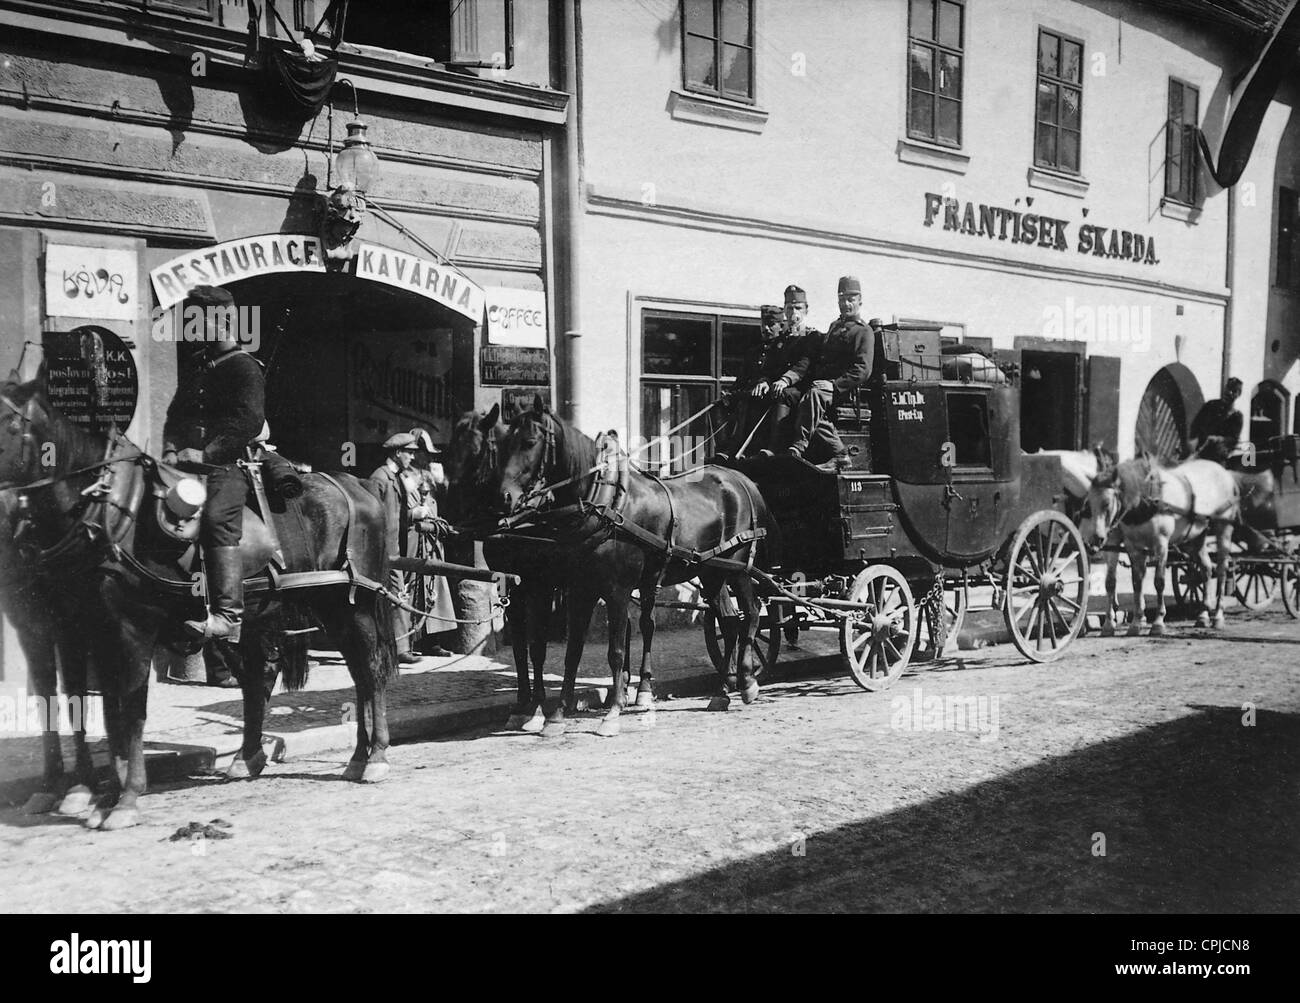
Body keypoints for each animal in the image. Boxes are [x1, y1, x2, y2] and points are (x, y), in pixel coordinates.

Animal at [0, 376, 395, 831]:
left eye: (11, 422)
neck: (109, 514)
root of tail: (358, 486)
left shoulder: (128, 628)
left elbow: (128, 709)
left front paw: (123, 798)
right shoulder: (75, 627)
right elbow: (84, 705)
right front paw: (89, 794)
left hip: (351, 606)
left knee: (368, 671)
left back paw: (374, 757)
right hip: (288, 614)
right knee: (282, 677)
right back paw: (275, 757)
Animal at [488, 397, 769, 737]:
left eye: (530, 441)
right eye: (503, 444)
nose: (504, 497)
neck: (604, 504)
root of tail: (740, 479)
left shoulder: (617, 591)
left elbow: (616, 652)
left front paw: (613, 712)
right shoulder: (581, 589)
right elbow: (572, 652)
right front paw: (557, 715)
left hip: (737, 568)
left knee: (751, 613)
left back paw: (748, 681)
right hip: (711, 572)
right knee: (728, 622)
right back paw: (722, 692)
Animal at [1086, 449, 1237, 634]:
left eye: (1107, 503)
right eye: (1089, 504)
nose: (1096, 538)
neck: (1144, 501)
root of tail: (1223, 471)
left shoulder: (1161, 544)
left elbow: (1159, 581)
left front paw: (1158, 622)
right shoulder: (1132, 546)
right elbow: (1132, 582)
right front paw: (1134, 623)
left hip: (1224, 527)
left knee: (1222, 570)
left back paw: (1218, 616)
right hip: (1196, 536)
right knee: (1206, 569)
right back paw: (1202, 615)